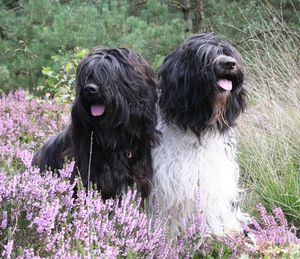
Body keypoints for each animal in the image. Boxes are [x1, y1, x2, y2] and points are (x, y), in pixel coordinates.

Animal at [150, 33, 248, 236]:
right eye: (205, 56)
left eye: (227, 52)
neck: (199, 128)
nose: (229, 64)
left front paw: (219, 231)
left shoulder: (215, 173)